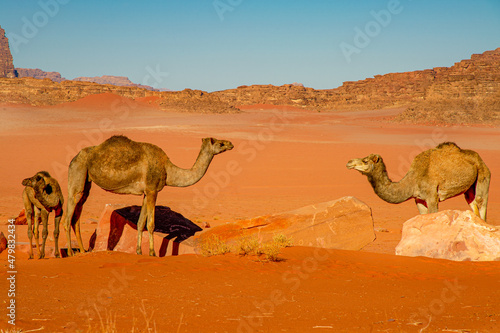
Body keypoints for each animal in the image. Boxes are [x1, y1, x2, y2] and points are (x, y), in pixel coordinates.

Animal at [64, 134, 234, 255]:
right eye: (220, 143)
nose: (231, 144)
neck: (168, 170)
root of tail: (73, 158)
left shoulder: (146, 192)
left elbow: (140, 223)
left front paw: (139, 251)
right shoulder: (153, 190)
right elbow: (151, 224)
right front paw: (152, 253)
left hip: (87, 182)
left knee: (76, 217)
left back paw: (82, 251)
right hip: (78, 172)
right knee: (68, 215)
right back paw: (70, 254)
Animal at [346, 141, 490, 220]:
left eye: (365, 161)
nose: (349, 162)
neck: (412, 181)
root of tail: (480, 159)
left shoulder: (432, 197)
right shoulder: (418, 199)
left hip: (483, 176)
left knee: (481, 203)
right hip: (469, 188)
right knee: (472, 204)